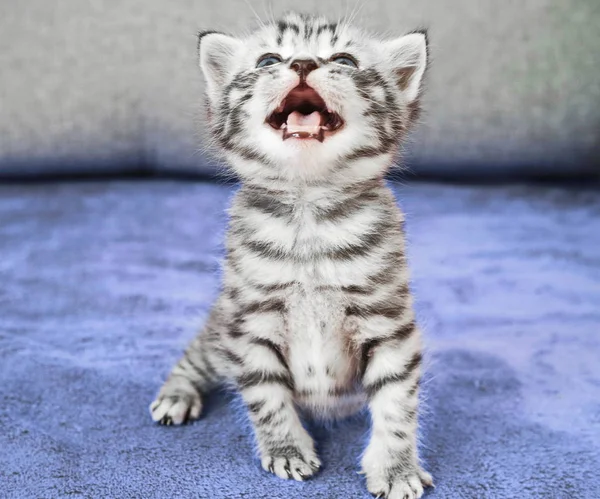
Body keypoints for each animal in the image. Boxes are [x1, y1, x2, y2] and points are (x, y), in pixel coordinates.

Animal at [149, 11, 432, 499]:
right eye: (268, 59)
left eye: (344, 60)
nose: (302, 63)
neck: (308, 211)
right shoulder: (250, 322)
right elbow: (267, 397)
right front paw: (286, 449)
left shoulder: (389, 322)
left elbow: (397, 402)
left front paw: (397, 468)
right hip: (221, 328)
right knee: (194, 356)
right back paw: (176, 394)